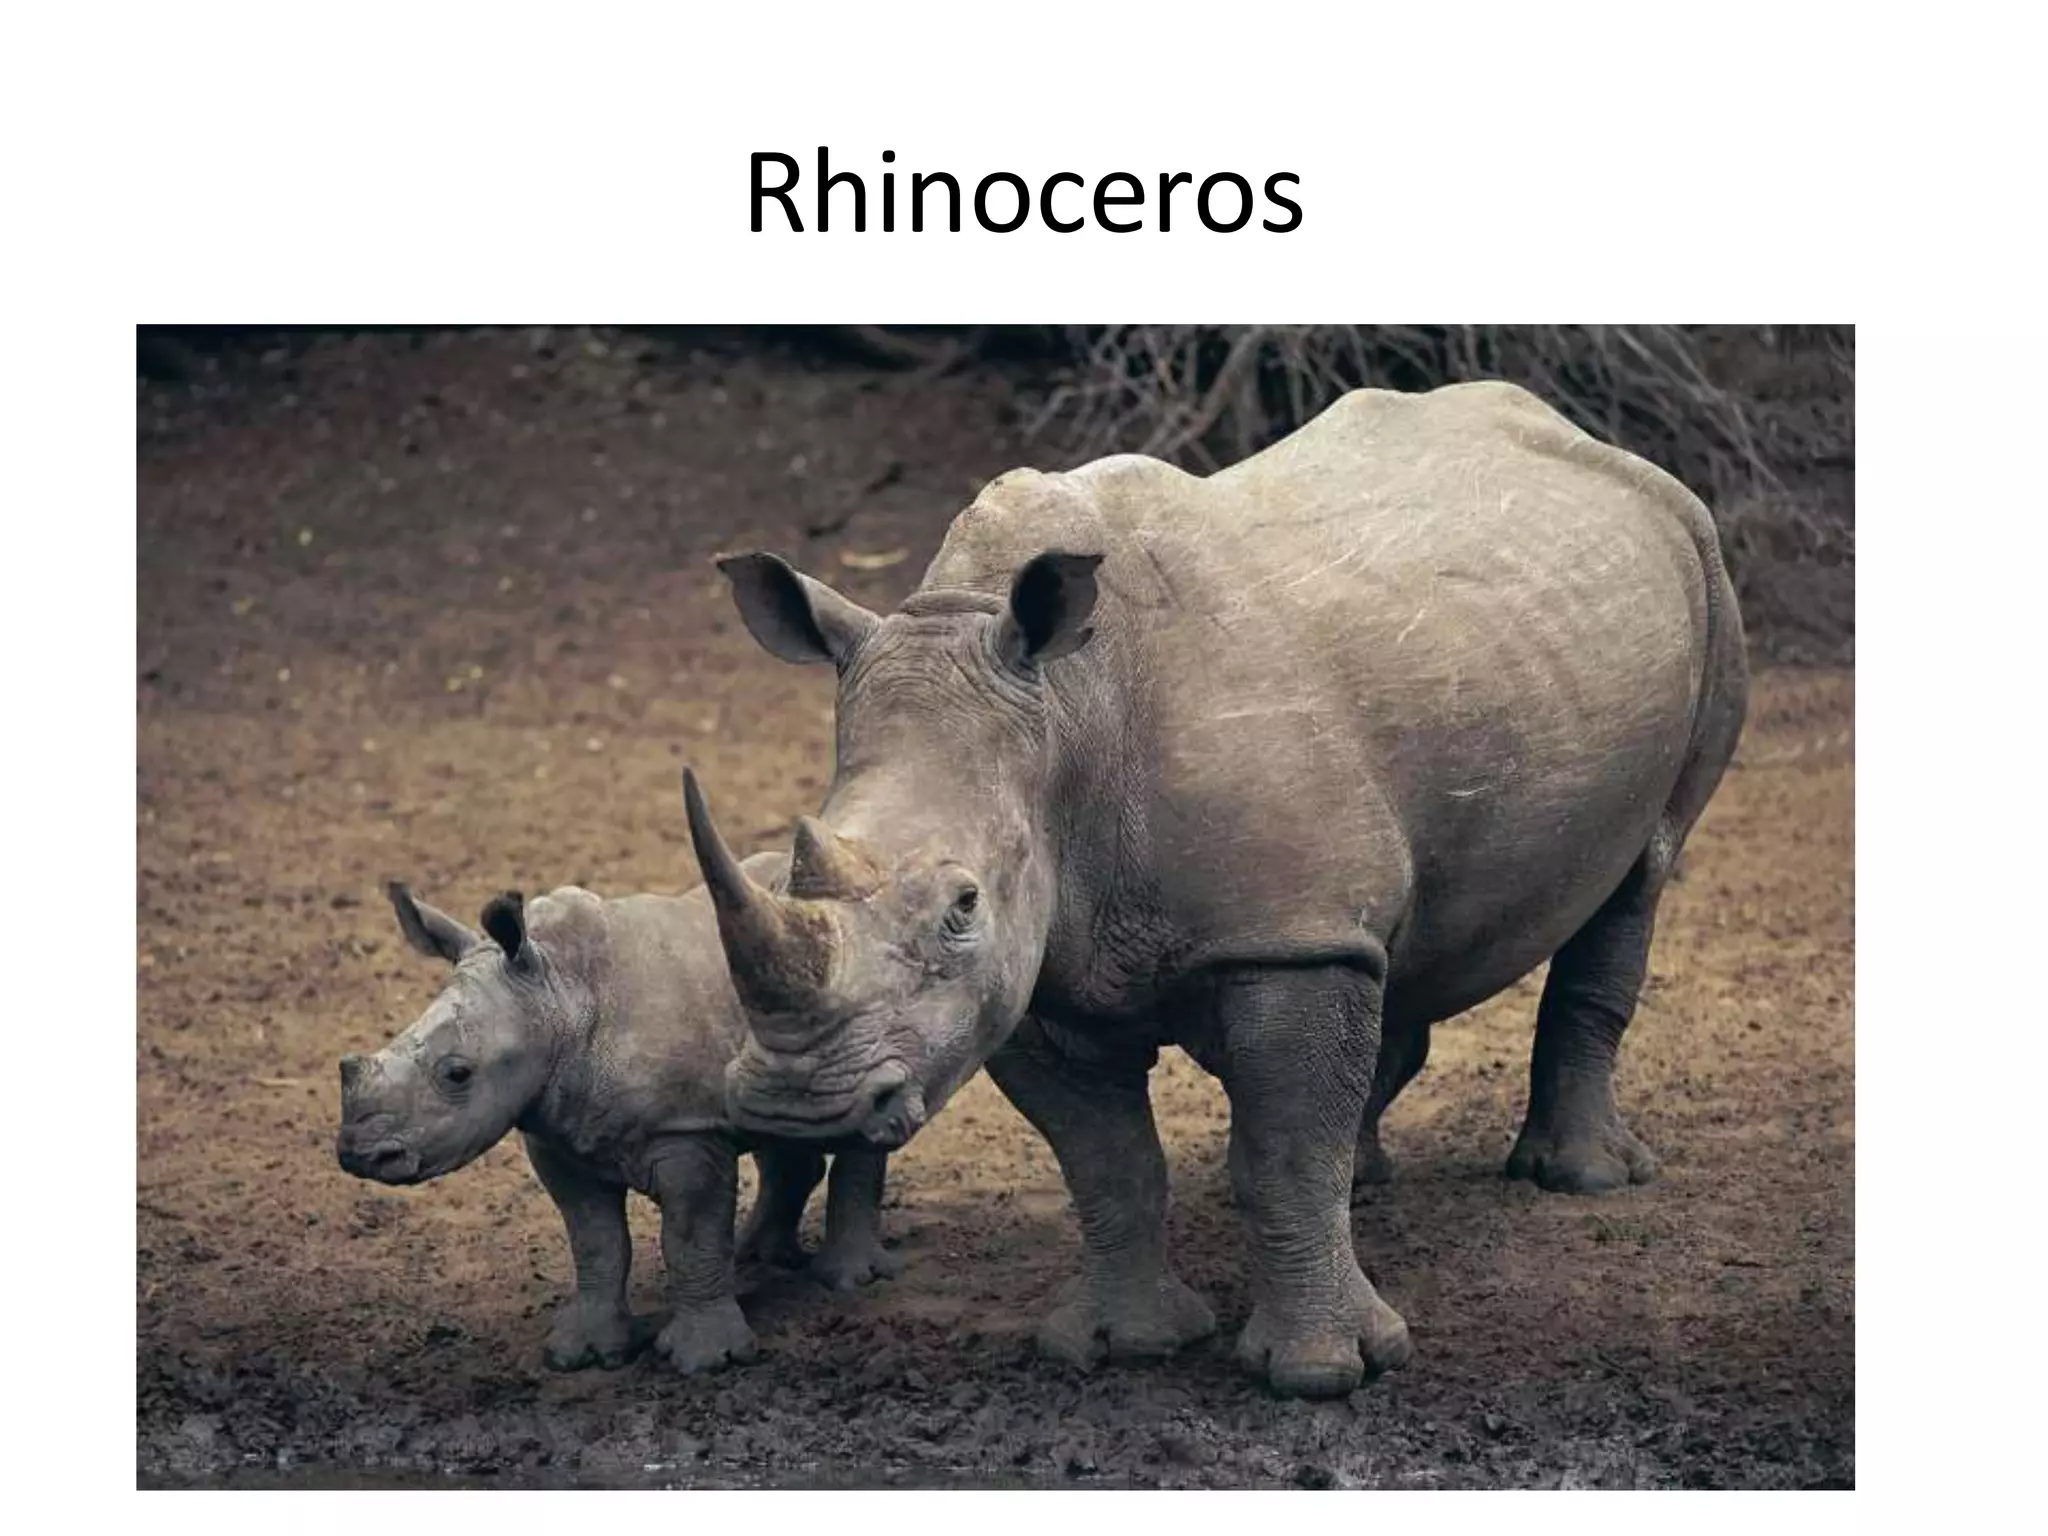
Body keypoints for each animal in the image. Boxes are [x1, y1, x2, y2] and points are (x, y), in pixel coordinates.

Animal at [334, 816, 900, 1375]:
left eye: (457, 1074)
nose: (360, 1154)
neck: (558, 996)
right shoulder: (557, 1135)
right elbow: (596, 1242)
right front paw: (581, 1353)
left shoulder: (686, 1131)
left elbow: (690, 1238)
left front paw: (703, 1360)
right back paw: (755, 1257)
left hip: (855, 1011)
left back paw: (846, 1279)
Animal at [679, 381, 1749, 1399]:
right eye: (796, 867)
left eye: (962, 907)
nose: (796, 1104)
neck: (1065, 720)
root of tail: (1580, 434)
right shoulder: (1037, 977)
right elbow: (1109, 1162)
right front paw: (1129, 1343)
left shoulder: (1281, 935)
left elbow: (1284, 1153)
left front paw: (1325, 1373)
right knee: (1390, 950)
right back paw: (1366, 1179)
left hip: (1706, 567)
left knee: (1641, 873)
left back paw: (1580, 1181)